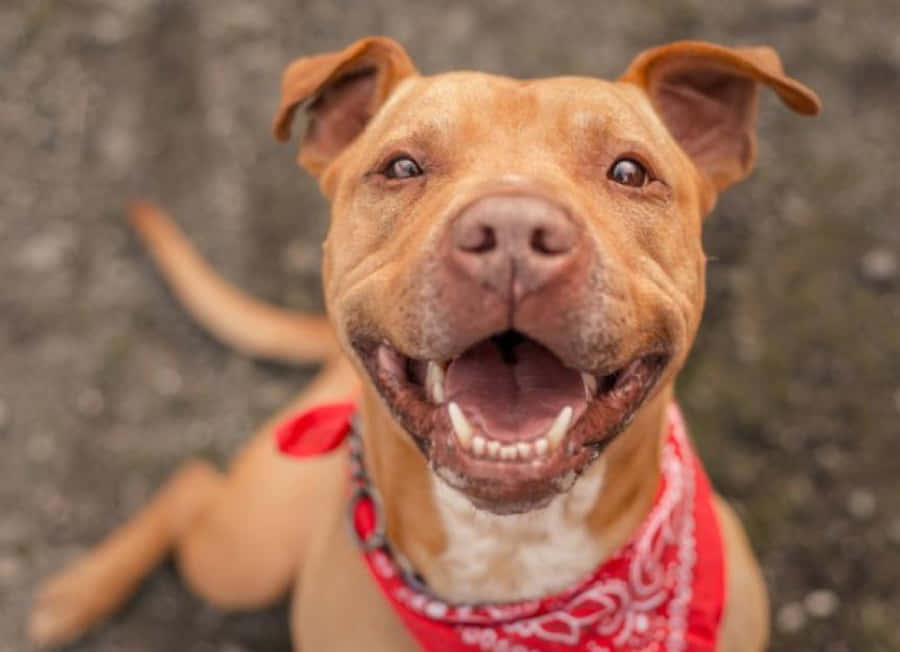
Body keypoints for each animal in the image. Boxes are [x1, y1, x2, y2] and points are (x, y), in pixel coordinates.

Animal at [28, 37, 820, 652]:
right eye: (402, 166)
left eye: (629, 171)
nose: (512, 233)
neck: (511, 563)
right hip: (243, 554)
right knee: (193, 485)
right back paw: (74, 595)